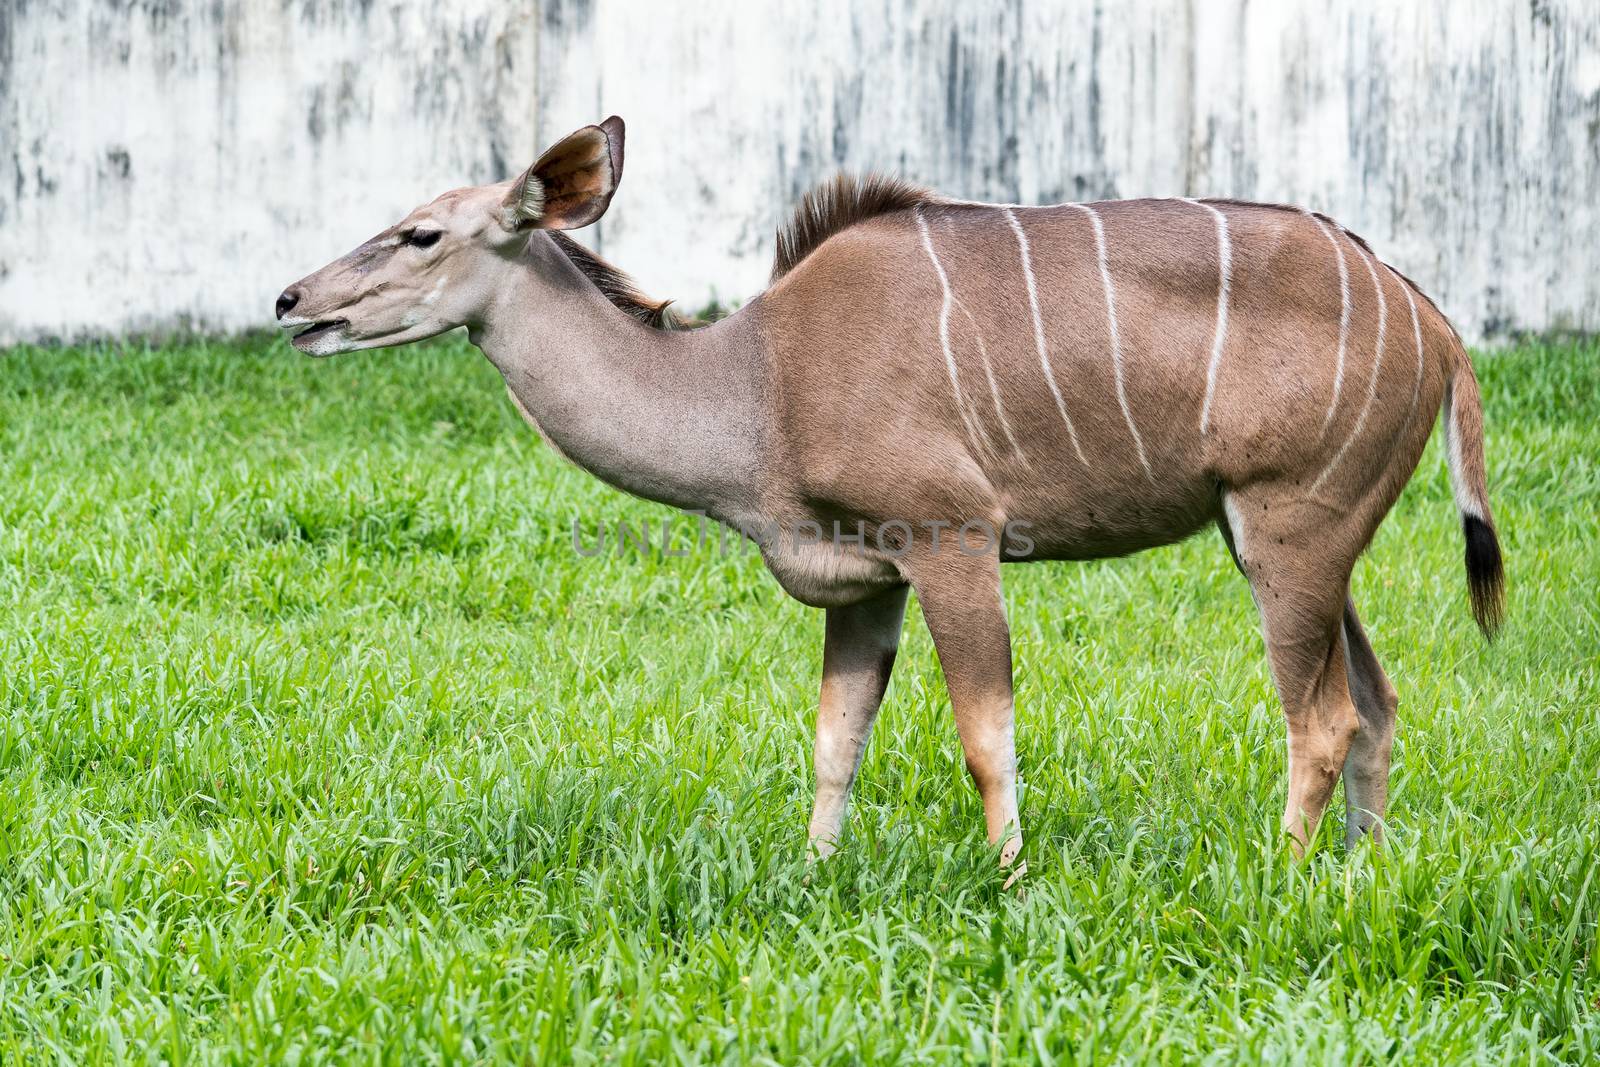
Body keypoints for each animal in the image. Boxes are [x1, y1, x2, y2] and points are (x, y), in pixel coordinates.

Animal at [268, 116, 1504, 876]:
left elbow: (985, 735)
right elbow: (835, 740)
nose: (292, 302)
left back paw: (1278, 878)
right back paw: (1357, 872)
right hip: (1297, 541)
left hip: (1288, 528)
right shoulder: (864, 582)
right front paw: (815, 872)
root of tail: (1431, 318)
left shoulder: (953, 539)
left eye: (421, 232)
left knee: (1322, 717)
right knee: (1377, 702)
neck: (758, 382)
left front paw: (1011, 882)